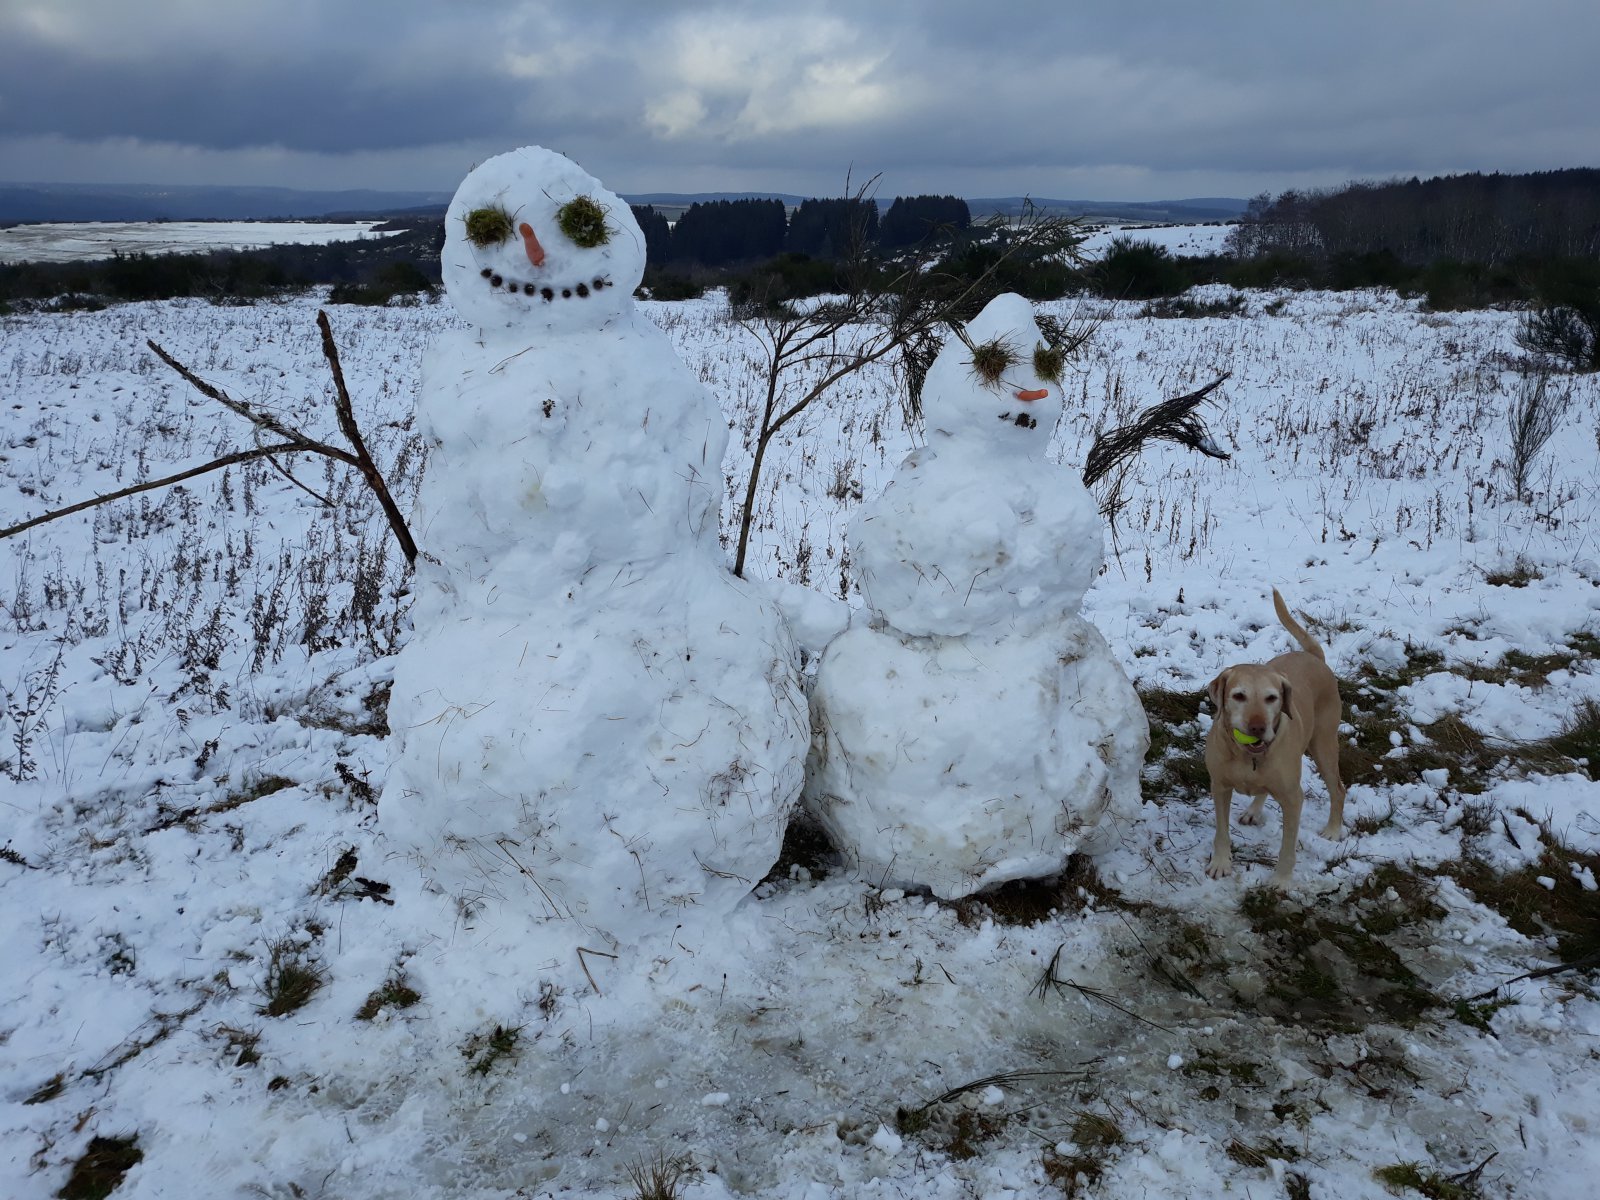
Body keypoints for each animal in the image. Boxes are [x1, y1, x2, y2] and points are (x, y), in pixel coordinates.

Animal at [1203, 588, 1344, 889]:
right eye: (1238, 695)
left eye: (1272, 698)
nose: (1257, 727)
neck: (1249, 756)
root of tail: (1315, 657)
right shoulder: (1219, 786)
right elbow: (1221, 831)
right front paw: (1220, 863)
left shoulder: (1293, 799)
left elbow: (1287, 846)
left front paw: (1281, 879)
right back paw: (1254, 809)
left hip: (1324, 744)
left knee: (1338, 788)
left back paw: (1333, 830)